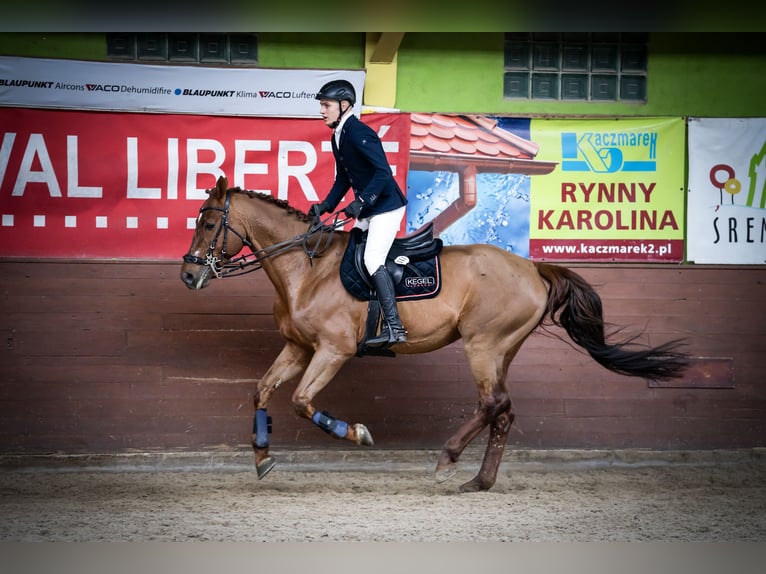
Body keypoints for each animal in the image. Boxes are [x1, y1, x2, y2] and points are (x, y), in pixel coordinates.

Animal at [180, 177, 688, 496]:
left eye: (209, 223)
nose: (187, 275)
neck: (306, 268)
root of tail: (531, 266)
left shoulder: (332, 351)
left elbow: (302, 402)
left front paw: (357, 433)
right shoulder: (298, 347)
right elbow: (262, 390)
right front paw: (262, 458)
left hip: (482, 344)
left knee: (491, 404)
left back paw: (447, 460)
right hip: (501, 349)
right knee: (503, 410)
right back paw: (478, 482)